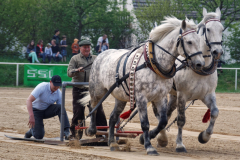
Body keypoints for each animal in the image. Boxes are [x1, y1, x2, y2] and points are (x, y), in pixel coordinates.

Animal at [85, 16, 204, 156]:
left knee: (113, 117)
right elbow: (145, 124)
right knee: (93, 106)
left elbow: (163, 121)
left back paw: (113, 143)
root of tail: (100, 55)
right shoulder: (141, 97)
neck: (153, 63)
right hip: (97, 90)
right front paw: (149, 146)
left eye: (200, 41)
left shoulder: (160, 97)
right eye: (189, 42)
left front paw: (150, 138)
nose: (200, 64)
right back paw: (91, 130)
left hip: (120, 97)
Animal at [158, 7, 223, 152]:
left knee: (167, 113)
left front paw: (204, 136)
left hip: (173, 95)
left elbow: (215, 112)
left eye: (222, 29)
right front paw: (180, 144)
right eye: (208, 29)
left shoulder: (208, 94)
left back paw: (161, 137)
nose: (217, 51)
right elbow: (181, 119)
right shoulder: (182, 95)